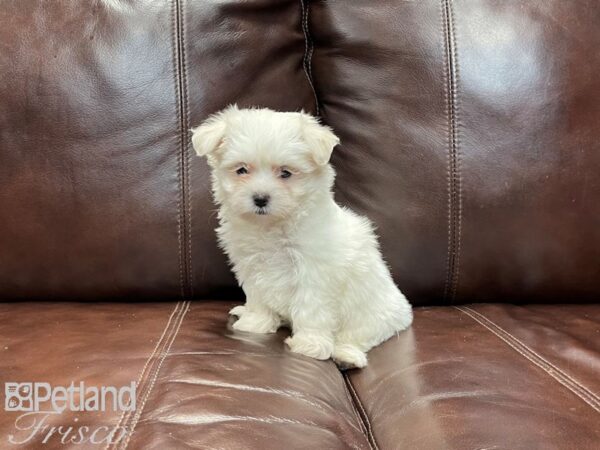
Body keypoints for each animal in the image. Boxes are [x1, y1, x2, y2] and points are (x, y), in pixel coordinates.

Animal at [192, 107, 412, 368]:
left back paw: (346, 355)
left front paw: (310, 345)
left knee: (359, 335)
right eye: (242, 170)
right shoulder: (251, 264)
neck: (273, 225)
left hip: (374, 313)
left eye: (286, 173)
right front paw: (256, 323)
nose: (260, 198)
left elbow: (311, 308)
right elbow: (257, 295)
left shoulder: (314, 272)